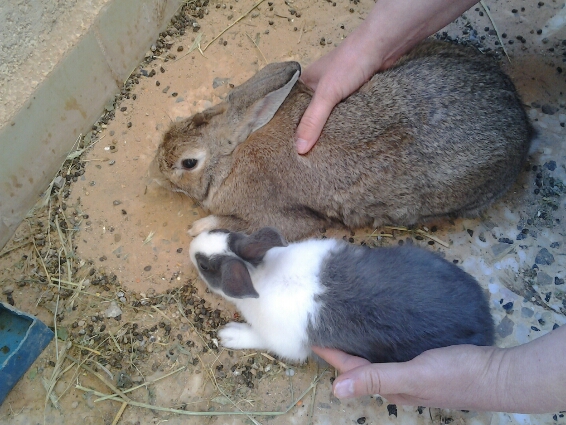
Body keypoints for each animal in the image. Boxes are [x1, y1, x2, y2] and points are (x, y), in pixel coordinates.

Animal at [189, 227, 494, 362]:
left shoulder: (283, 342)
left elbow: (258, 338)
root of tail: (486, 320)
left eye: (204, 265)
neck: (259, 275)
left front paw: (229, 335)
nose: (192, 245)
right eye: (220, 231)